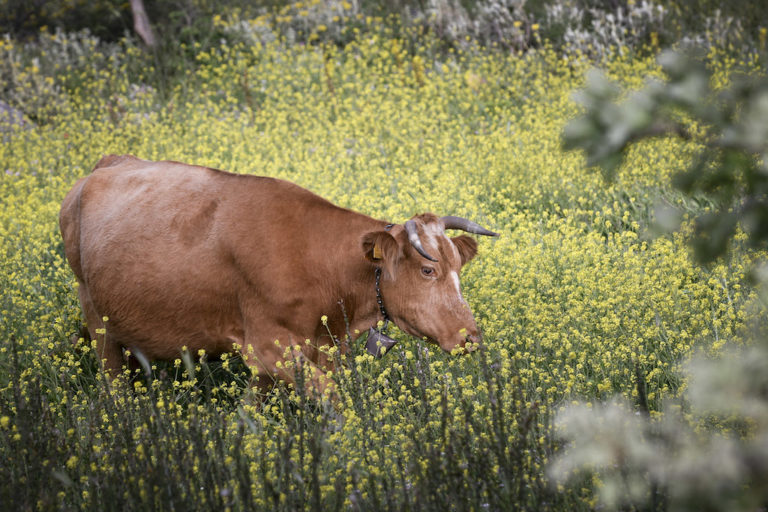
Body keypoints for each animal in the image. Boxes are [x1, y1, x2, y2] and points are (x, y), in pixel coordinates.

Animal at [58, 156, 498, 396]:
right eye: (428, 269)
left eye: (458, 268)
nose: (471, 337)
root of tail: (110, 162)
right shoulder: (268, 347)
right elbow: (334, 403)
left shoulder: (312, 351)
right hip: (96, 318)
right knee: (113, 382)